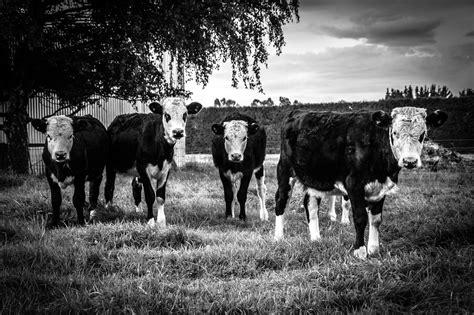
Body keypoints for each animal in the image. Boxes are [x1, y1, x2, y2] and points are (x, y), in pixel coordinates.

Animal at [104, 97, 203, 228]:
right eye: (166, 115)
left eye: (185, 114)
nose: (178, 132)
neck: (160, 147)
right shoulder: (143, 168)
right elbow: (150, 195)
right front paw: (150, 221)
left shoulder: (166, 170)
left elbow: (160, 196)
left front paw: (161, 222)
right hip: (110, 165)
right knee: (109, 186)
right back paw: (108, 209)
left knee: (135, 185)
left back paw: (139, 211)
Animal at [274, 106, 448, 260]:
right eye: (394, 133)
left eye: (422, 134)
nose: (409, 161)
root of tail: (298, 112)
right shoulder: (354, 184)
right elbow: (360, 217)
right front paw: (360, 251)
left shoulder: (381, 188)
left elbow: (376, 220)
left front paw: (374, 249)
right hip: (285, 170)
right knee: (281, 201)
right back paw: (278, 237)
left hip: (314, 178)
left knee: (310, 204)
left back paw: (316, 239)